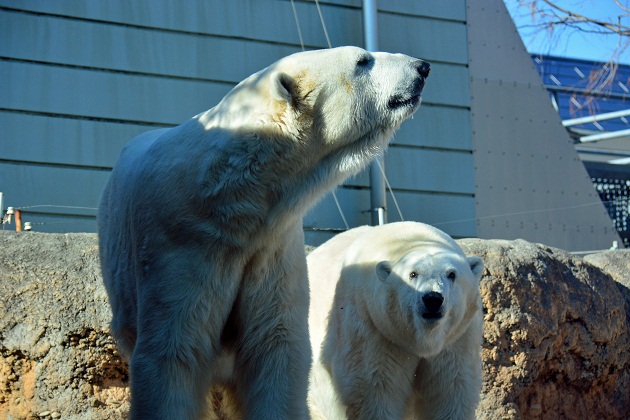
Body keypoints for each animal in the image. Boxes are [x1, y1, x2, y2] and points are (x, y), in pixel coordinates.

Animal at [99, 46, 432, 420]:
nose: (422, 67)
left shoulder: (271, 245)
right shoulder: (180, 241)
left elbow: (273, 345)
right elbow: (173, 350)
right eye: (363, 61)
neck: (234, 198)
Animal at [308, 221, 486, 418]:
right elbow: (374, 390)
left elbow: (450, 389)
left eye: (452, 274)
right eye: (413, 274)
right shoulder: (372, 324)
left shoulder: (457, 337)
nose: (432, 299)